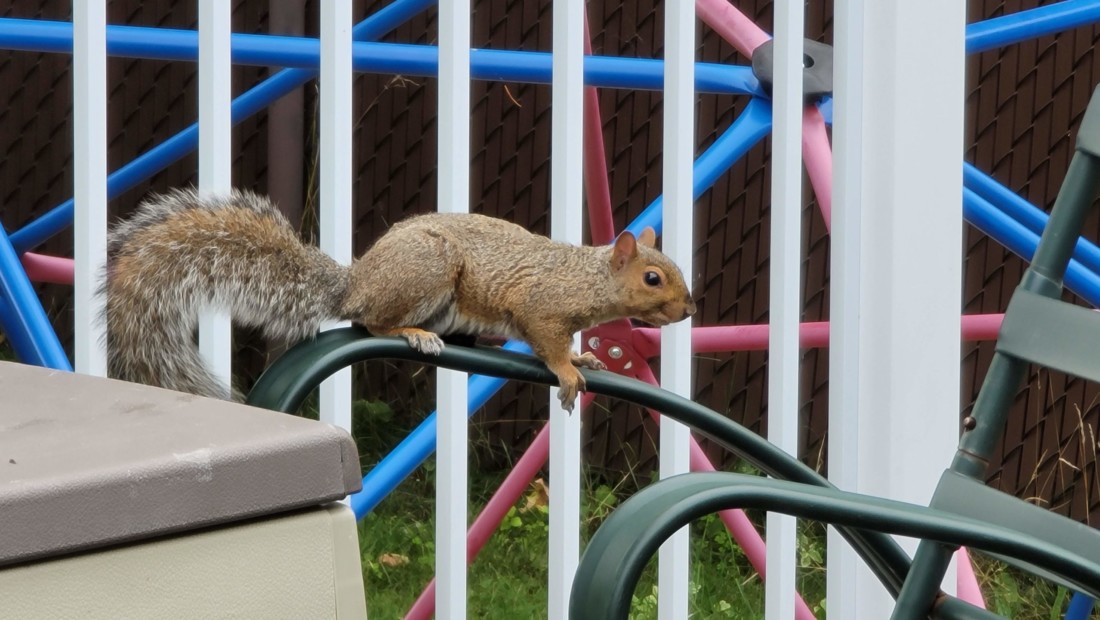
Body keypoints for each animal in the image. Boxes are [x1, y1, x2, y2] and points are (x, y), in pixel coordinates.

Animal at [103, 188, 696, 411]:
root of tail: (358, 281)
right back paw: (413, 333)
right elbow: (545, 342)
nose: (689, 309)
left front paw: (583, 357)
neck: (588, 279)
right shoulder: (540, 305)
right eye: (652, 278)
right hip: (424, 273)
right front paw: (568, 371)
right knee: (371, 323)